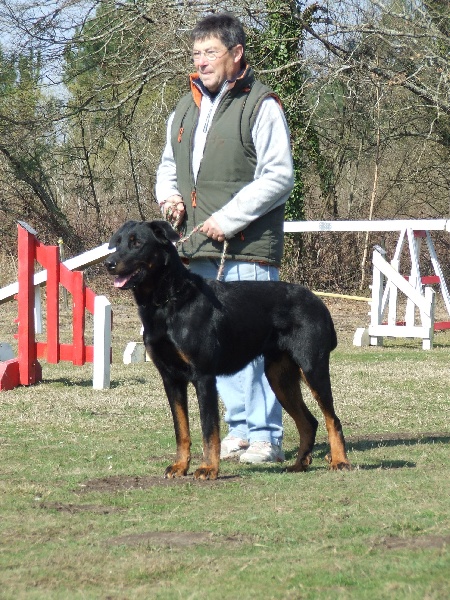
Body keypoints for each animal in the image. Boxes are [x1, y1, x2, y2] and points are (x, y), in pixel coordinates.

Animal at [106, 219, 352, 478]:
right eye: (118, 242)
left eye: (137, 243)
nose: (108, 264)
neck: (167, 301)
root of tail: (319, 302)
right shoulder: (171, 378)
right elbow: (181, 429)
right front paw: (181, 465)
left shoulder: (203, 377)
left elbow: (208, 428)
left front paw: (208, 468)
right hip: (279, 377)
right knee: (309, 422)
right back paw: (299, 464)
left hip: (312, 367)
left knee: (332, 419)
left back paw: (340, 461)